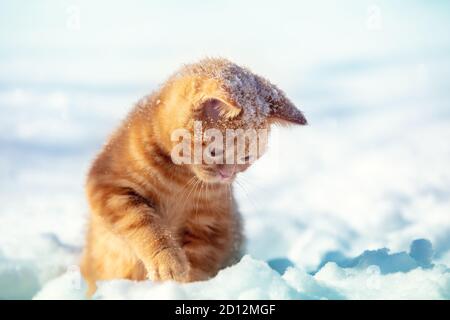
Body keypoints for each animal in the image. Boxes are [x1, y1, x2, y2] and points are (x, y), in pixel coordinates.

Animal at [81, 58, 306, 296]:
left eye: (246, 157)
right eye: (214, 151)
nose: (227, 175)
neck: (179, 179)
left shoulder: (211, 225)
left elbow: (200, 264)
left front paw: (191, 289)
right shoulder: (109, 186)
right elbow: (144, 223)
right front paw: (168, 261)